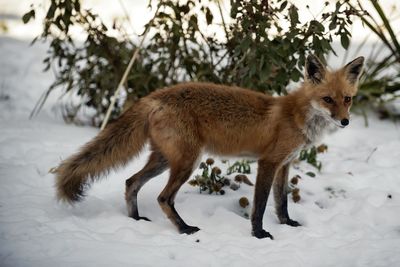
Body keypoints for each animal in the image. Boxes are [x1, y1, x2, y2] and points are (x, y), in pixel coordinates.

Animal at [56, 55, 366, 240]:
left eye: (347, 99)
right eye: (327, 99)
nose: (345, 121)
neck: (296, 116)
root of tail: (155, 96)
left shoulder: (284, 164)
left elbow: (282, 202)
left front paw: (287, 224)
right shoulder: (268, 162)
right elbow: (260, 205)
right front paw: (259, 234)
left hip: (164, 160)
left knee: (131, 182)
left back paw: (135, 221)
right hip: (187, 162)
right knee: (163, 197)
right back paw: (183, 229)